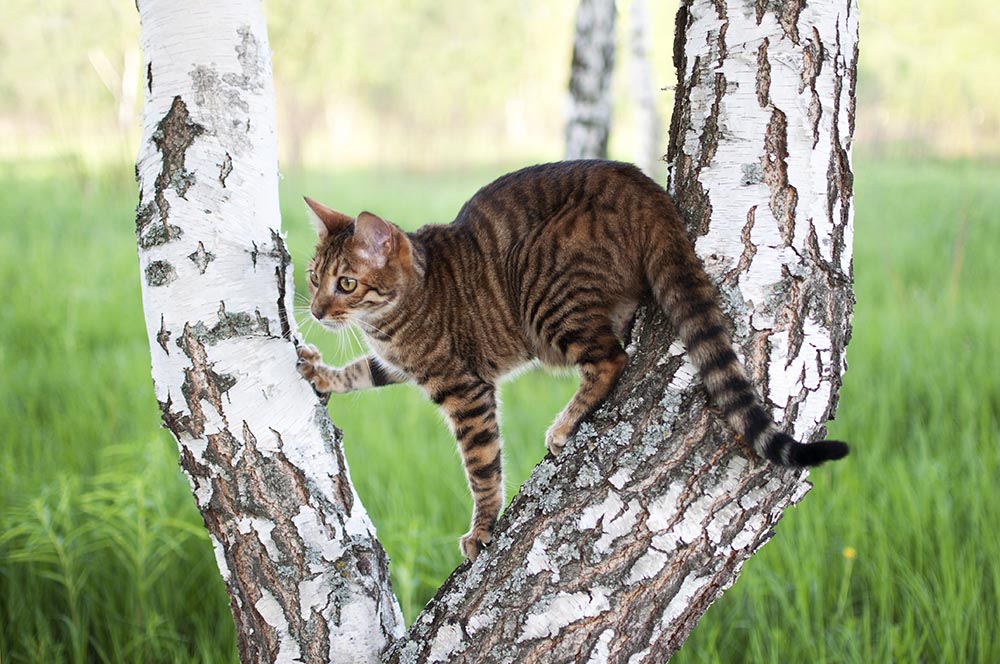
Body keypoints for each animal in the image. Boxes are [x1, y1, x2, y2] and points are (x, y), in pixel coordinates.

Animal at [292, 161, 848, 560]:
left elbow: (482, 468)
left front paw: (483, 527)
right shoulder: (398, 363)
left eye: (347, 284)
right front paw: (321, 374)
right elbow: (361, 370)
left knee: (610, 360)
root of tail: (644, 188)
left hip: (545, 292)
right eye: (314, 277)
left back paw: (565, 424)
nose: (316, 311)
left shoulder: (463, 388)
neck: (393, 315)